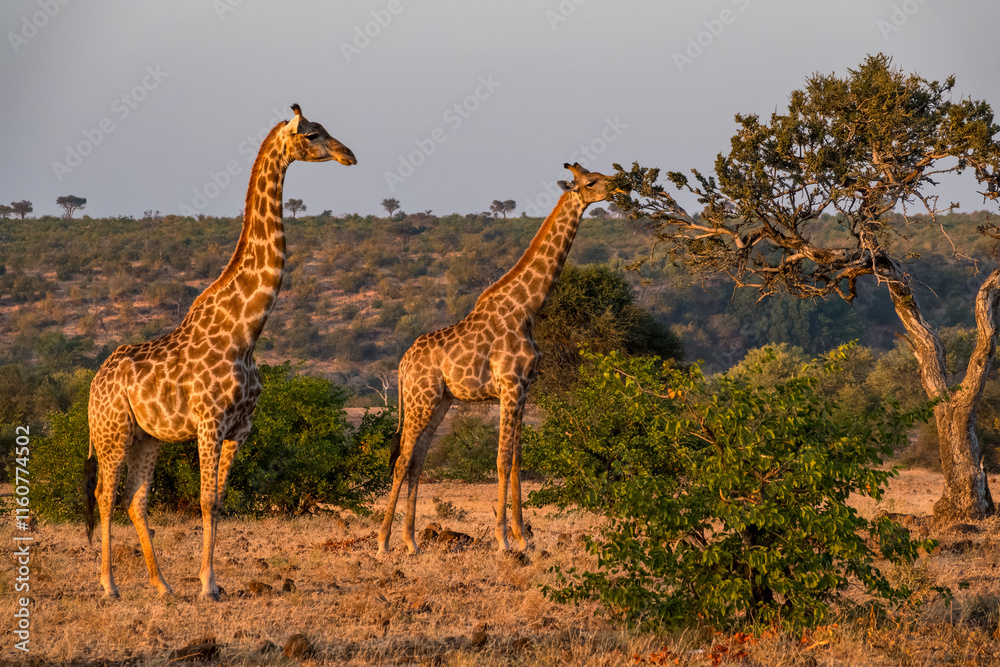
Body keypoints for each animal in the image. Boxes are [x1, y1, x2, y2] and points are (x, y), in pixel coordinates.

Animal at [83, 105, 356, 600]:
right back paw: (110, 586)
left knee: (135, 500)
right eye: (311, 134)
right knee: (105, 496)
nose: (349, 154)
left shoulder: (239, 429)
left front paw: (211, 582)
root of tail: (94, 384)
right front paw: (207, 585)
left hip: (146, 438)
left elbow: (221, 501)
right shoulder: (208, 423)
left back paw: (162, 586)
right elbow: (206, 500)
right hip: (112, 433)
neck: (245, 333)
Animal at [378, 163, 617, 555]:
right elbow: (503, 460)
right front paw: (504, 540)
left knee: (417, 461)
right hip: (420, 400)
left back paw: (411, 542)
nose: (620, 185)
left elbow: (517, 460)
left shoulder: (524, 390)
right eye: (591, 181)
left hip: (440, 401)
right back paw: (383, 542)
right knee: (401, 460)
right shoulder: (510, 386)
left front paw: (524, 539)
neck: (528, 308)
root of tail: (402, 365)